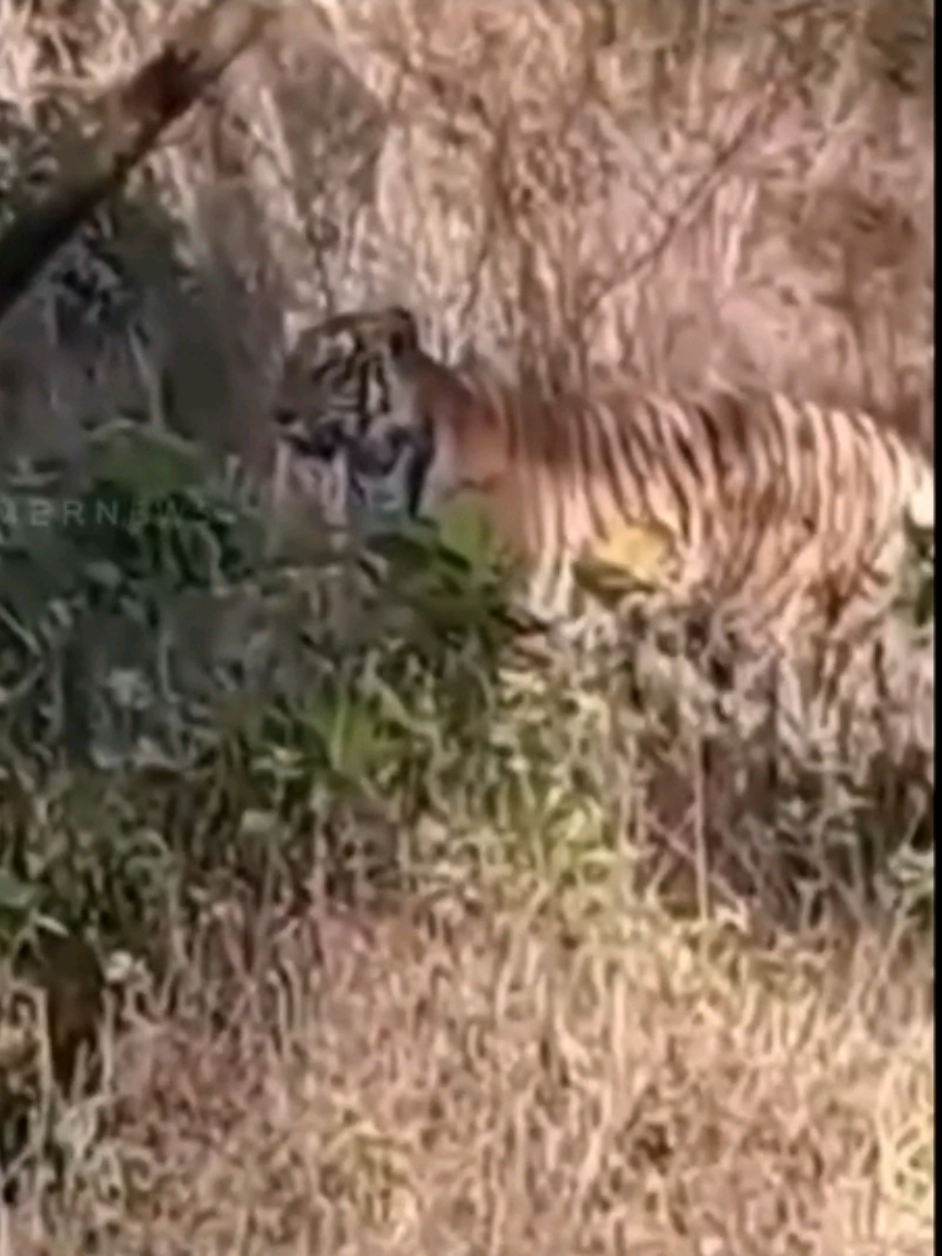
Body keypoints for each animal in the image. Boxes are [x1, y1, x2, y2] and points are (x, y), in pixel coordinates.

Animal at [269, 304, 935, 699]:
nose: (277, 413)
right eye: (291, 359)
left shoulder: (517, 618)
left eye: (328, 368)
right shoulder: (390, 594)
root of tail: (894, 443)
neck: (378, 464)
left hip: (789, 629)